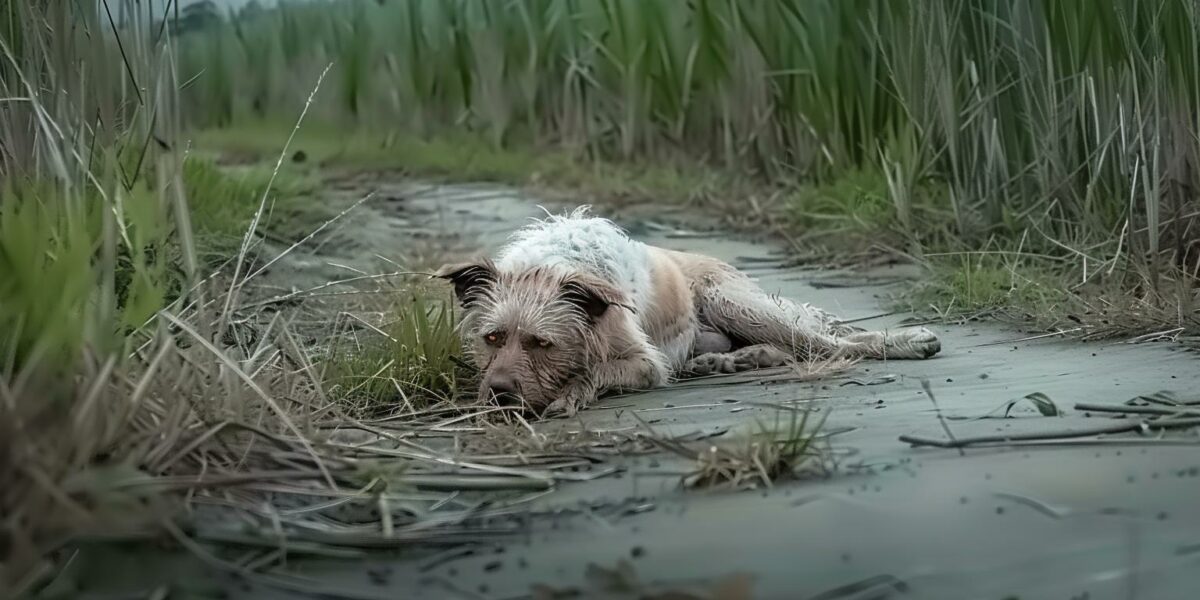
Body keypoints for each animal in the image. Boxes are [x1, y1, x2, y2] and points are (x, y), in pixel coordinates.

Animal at [436, 208, 940, 415]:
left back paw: (905, 341)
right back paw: (725, 361)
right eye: (492, 338)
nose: (498, 395)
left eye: (542, 343)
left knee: (828, 341)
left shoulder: (644, 363)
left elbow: (595, 372)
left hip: (735, 302)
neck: (551, 267)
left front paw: (572, 393)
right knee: (787, 349)